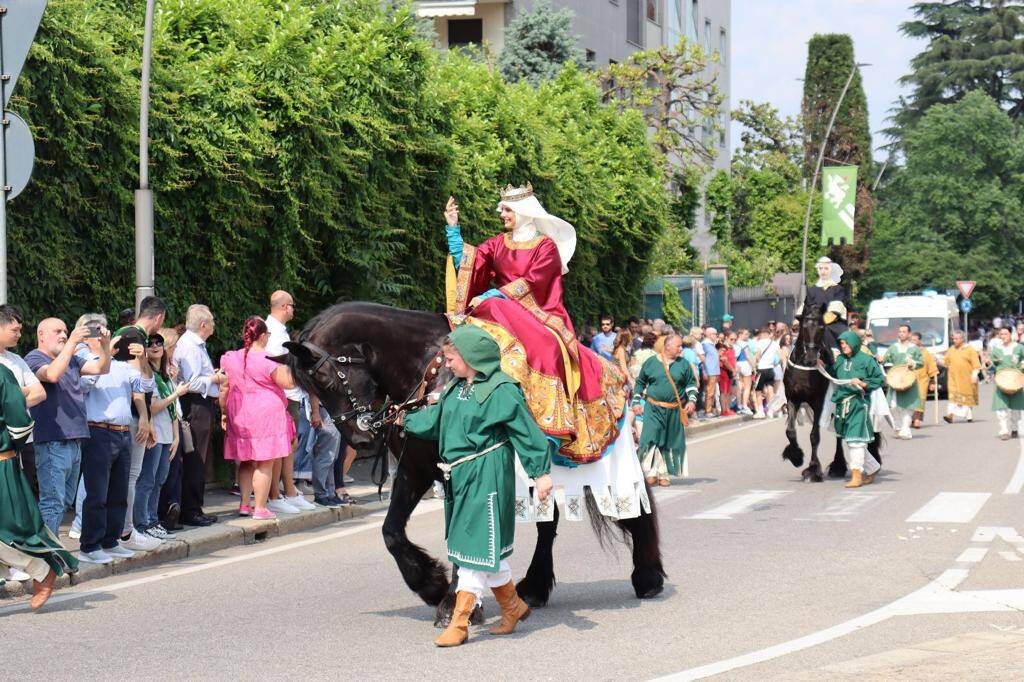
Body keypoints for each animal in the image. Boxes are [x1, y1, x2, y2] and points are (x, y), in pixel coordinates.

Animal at [276, 301, 667, 622]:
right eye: (310, 389)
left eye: (326, 377)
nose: (361, 439)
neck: (427, 369)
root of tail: (617, 373)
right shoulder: (415, 470)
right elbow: (392, 532)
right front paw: (430, 584)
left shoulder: (459, 469)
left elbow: (458, 534)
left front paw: (453, 603)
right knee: (548, 526)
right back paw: (535, 587)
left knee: (635, 509)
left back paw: (647, 577)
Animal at [778, 305, 884, 481]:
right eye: (804, 326)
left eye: (821, 327)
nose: (811, 356)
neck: (805, 368)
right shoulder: (793, 399)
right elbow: (790, 431)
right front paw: (796, 457)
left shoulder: (819, 403)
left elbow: (814, 436)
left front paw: (813, 470)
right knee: (840, 434)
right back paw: (838, 466)